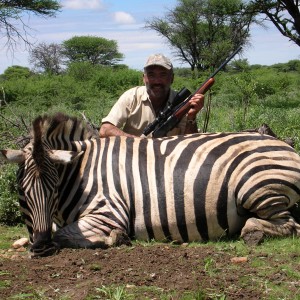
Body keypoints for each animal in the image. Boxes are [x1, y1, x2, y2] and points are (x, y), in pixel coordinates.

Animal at [1, 113, 300, 258]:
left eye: (54, 190)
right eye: (21, 193)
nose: (41, 248)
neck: (80, 172)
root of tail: (285, 144)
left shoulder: (108, 212)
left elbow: (63, 234)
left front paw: (116, 238)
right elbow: (49, 231)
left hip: (256, 187)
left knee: (288, 224)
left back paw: (251, 232)